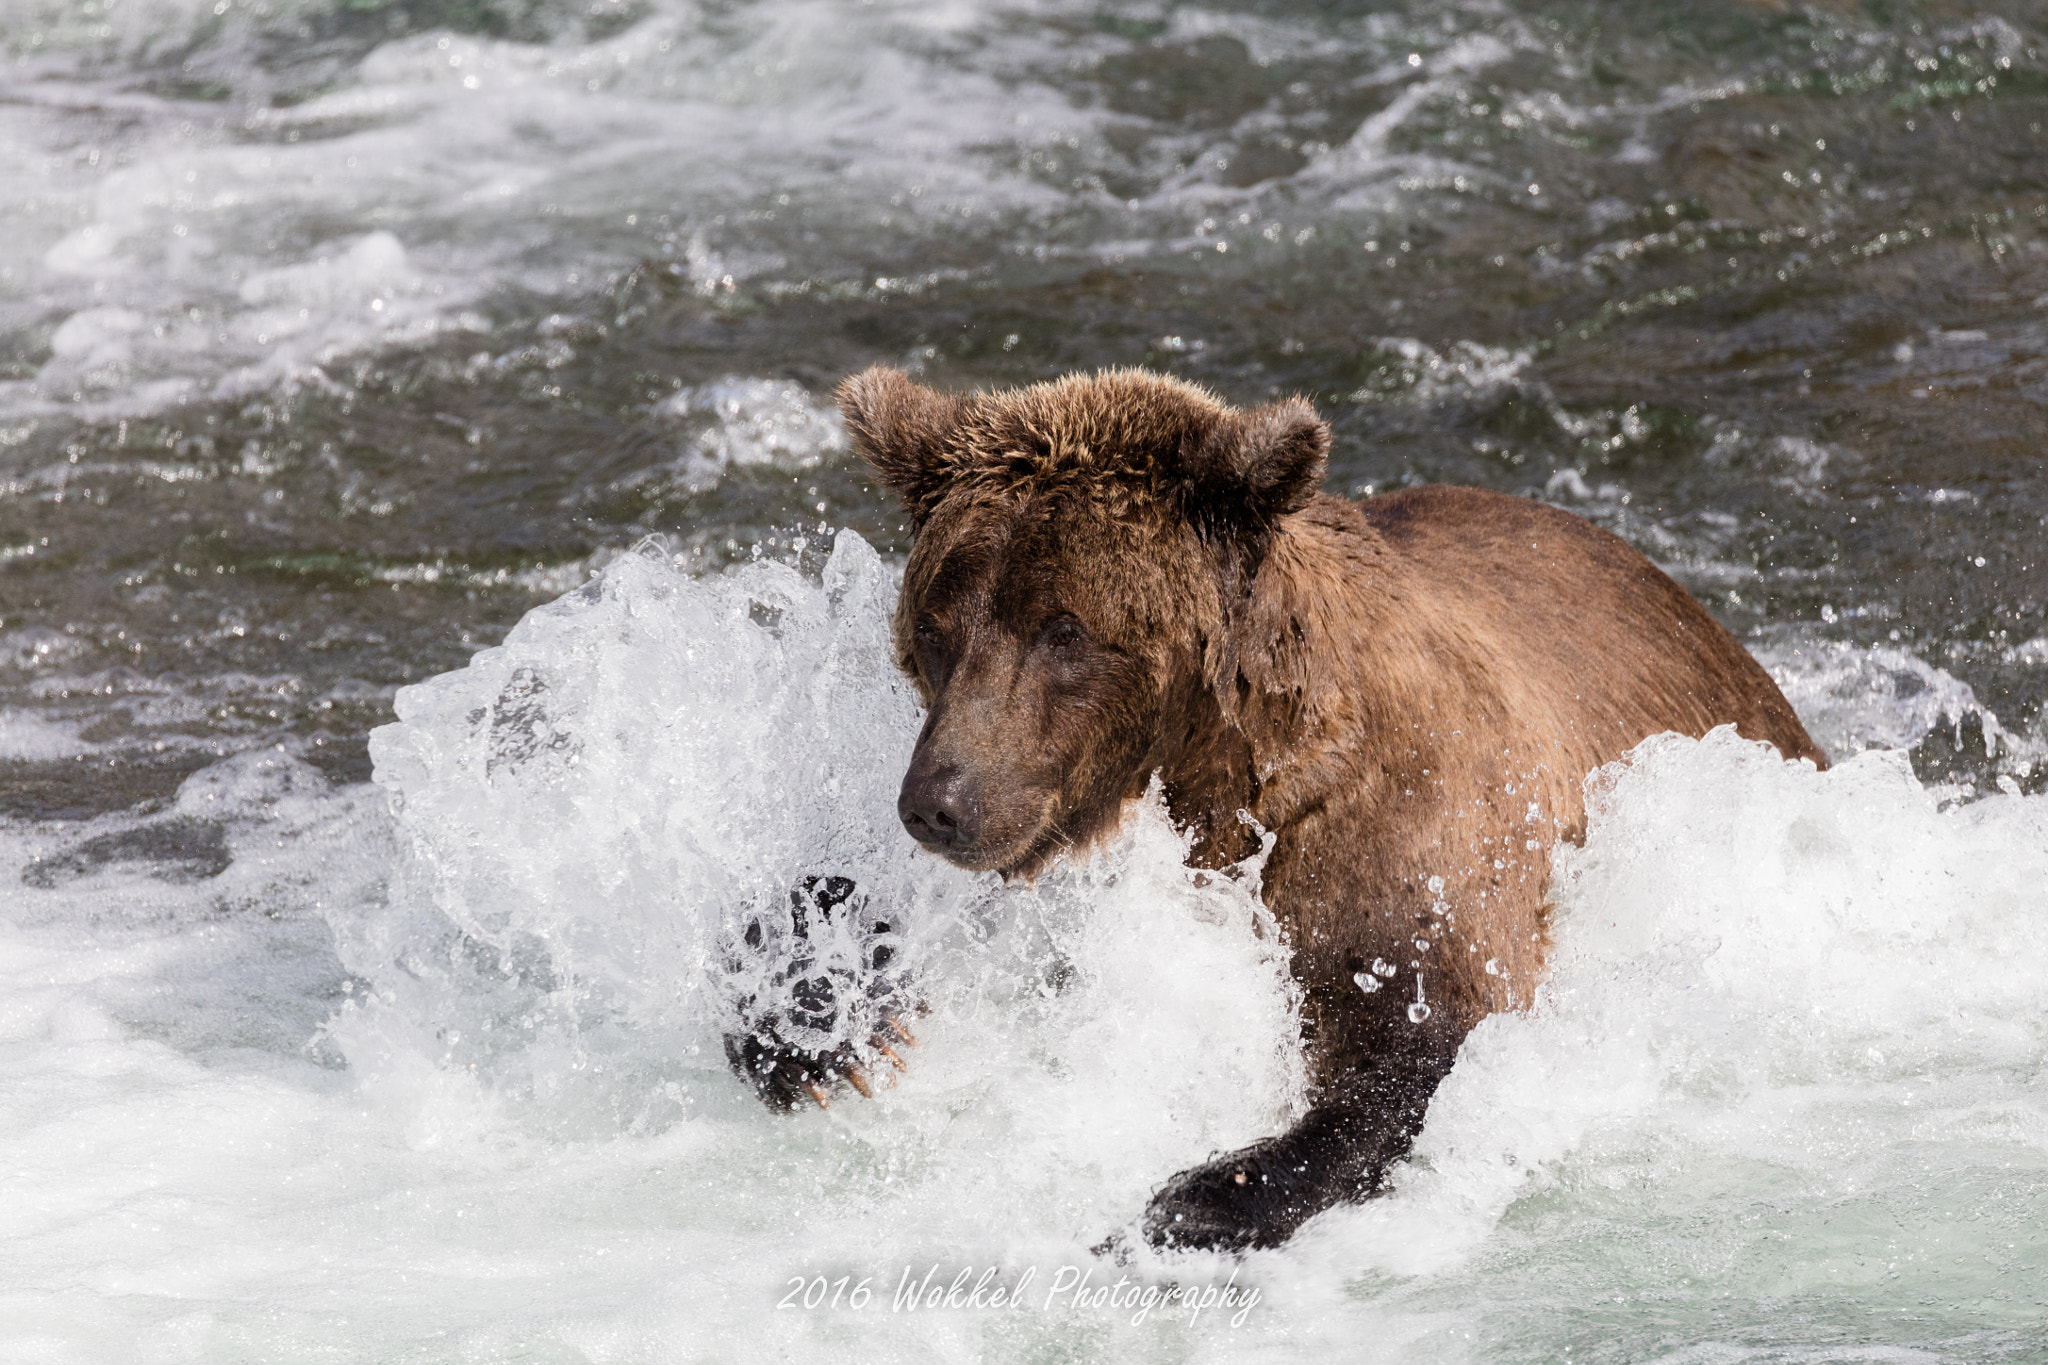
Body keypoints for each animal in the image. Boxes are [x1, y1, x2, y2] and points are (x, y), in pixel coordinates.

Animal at [824, 364, 1825, 1252]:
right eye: (935, 626)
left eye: (1063, 629)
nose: (938, 801)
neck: (1219, 773)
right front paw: (835, 1023)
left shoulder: (1407, 821)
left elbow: (1419, 1031)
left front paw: (1190, 1198)